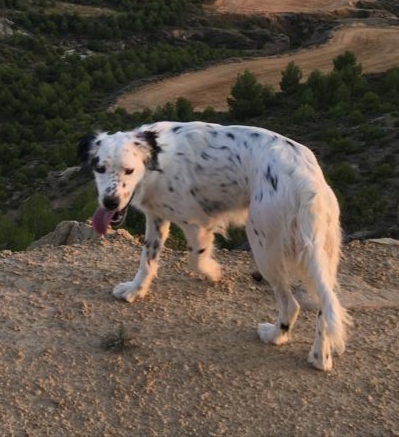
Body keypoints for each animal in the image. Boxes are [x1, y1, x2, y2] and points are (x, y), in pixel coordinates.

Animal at [79, 121, 352, 370]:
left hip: (263, 245)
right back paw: (320, 357)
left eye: (129, 170)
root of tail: (306, 180)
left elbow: (195, 259)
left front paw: (214, 272)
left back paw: (275, 336)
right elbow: (147, 261)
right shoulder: (157, 217)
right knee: (325, 307)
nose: (110, 201)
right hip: (323, 255)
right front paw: (135, 290)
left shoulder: (195, 223)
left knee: (291, 303)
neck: (156, 161)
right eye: (99, 168)